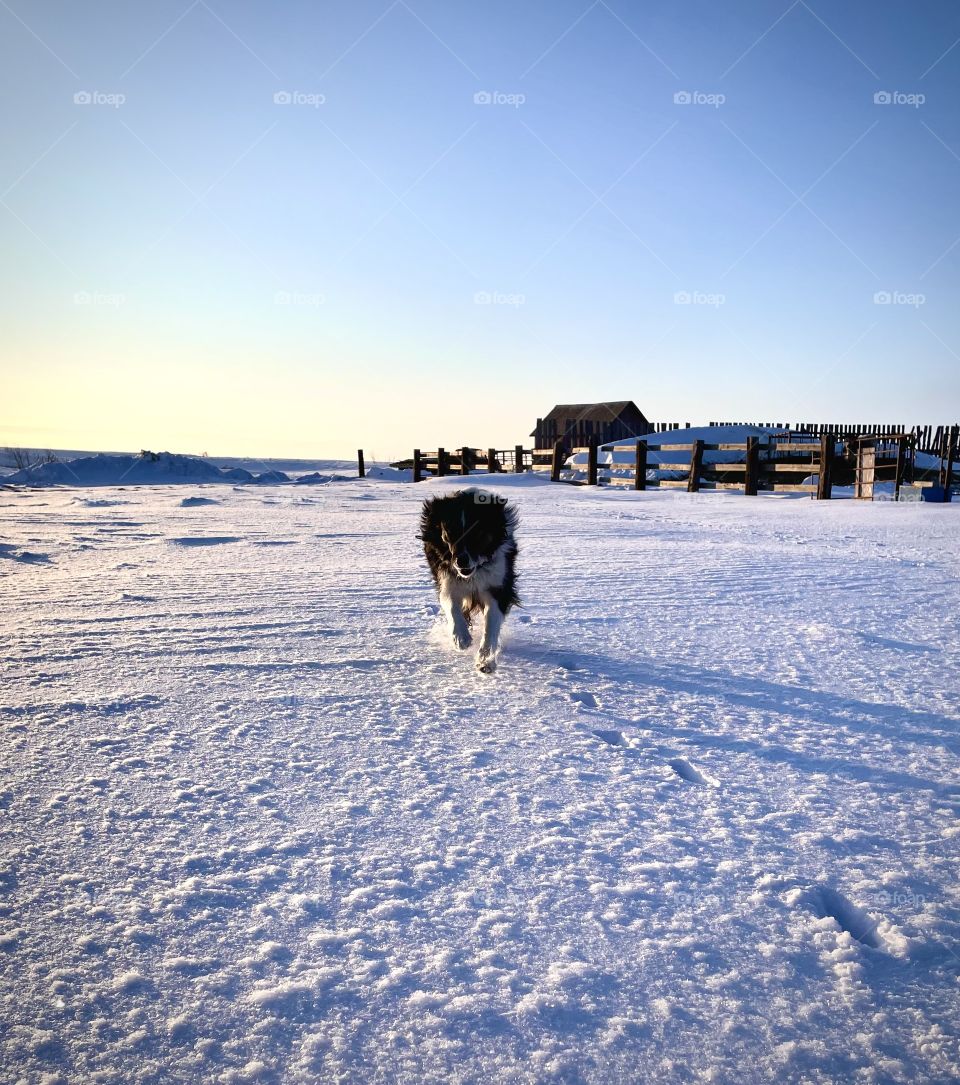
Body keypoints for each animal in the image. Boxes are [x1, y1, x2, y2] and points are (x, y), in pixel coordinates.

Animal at [420, 490, 520, 668]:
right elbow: (452, 607)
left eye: (477, 532)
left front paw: (486, 660)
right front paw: (461, 638)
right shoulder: (448, 580)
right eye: (450, 532)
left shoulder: (498, 587)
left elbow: (491, 623)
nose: (461, 561)